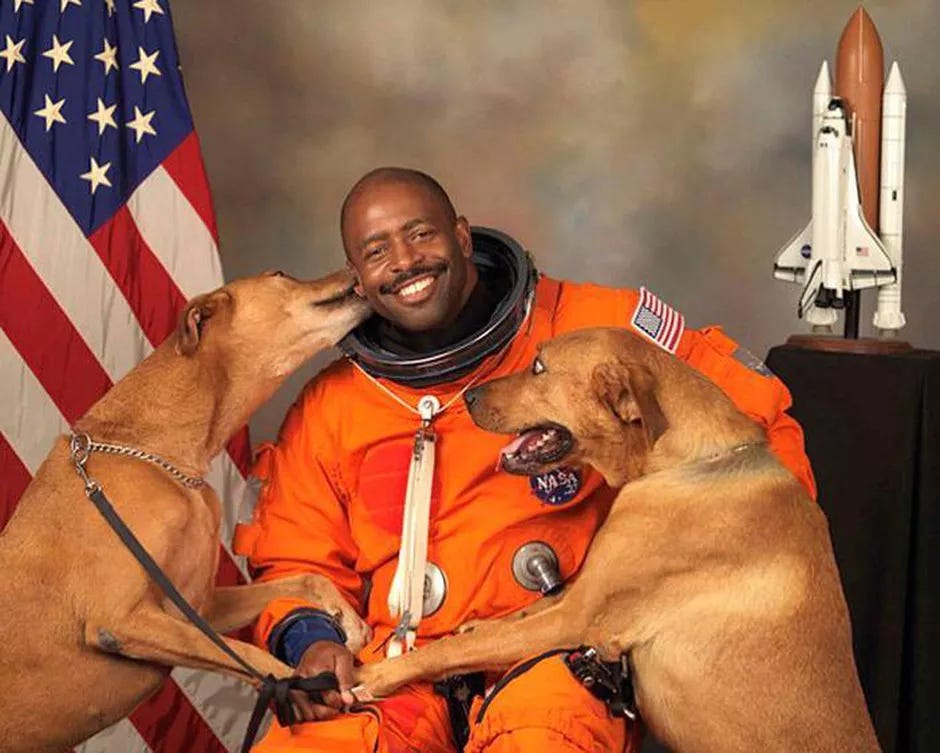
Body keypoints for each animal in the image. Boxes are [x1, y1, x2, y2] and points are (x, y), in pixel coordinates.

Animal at [0, 270, 374, 752]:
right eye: (280, 275)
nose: (353, 269)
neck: (159, 454)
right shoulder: (121, 621)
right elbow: (254, 658)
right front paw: (302, 686)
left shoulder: (199, 608)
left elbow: (306, 577)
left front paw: (345, 617)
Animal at [354, 328, 880, 752]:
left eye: (539, 366)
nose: (468, 397)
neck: (685, 462)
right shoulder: (579, 593)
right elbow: (518, 614)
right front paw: (476, 627)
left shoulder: (577, 619)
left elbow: (454, 649)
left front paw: (379, 675)